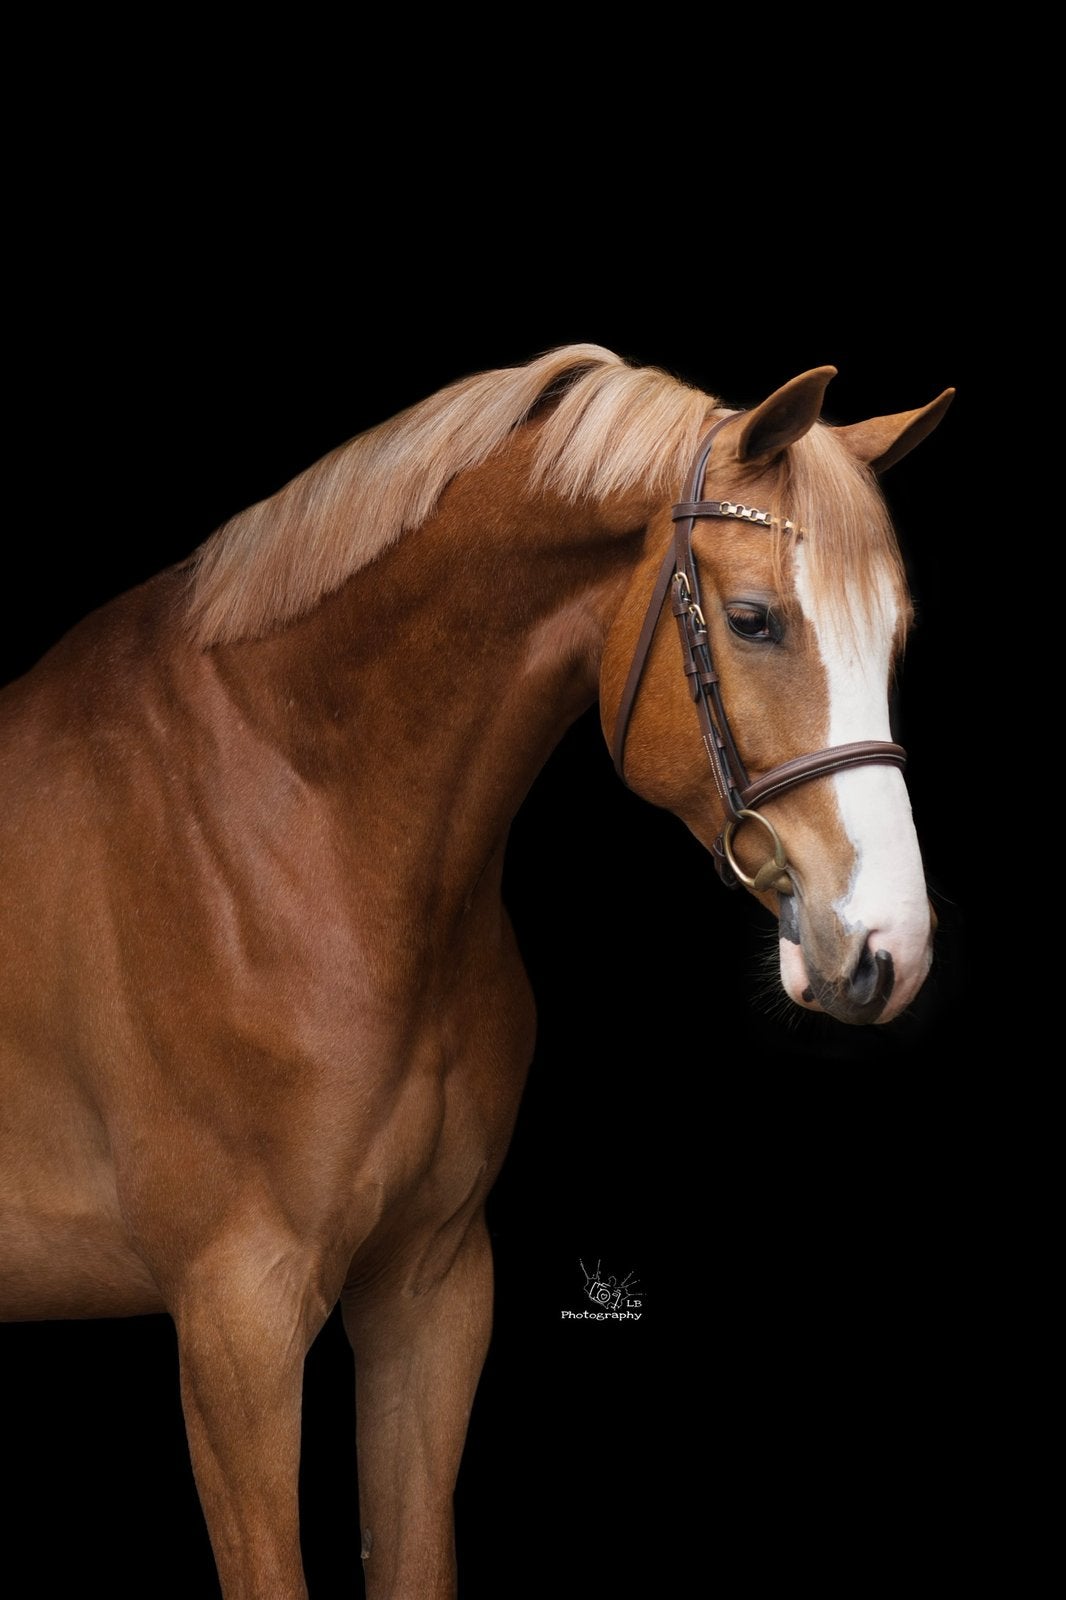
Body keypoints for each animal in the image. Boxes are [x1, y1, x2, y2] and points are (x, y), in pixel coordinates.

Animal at [0, 345, 953, 1598]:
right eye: (752, 621)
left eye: (894, 635)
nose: (888, 947)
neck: (296, 814)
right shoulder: (234, 1320)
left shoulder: (430, 1295)